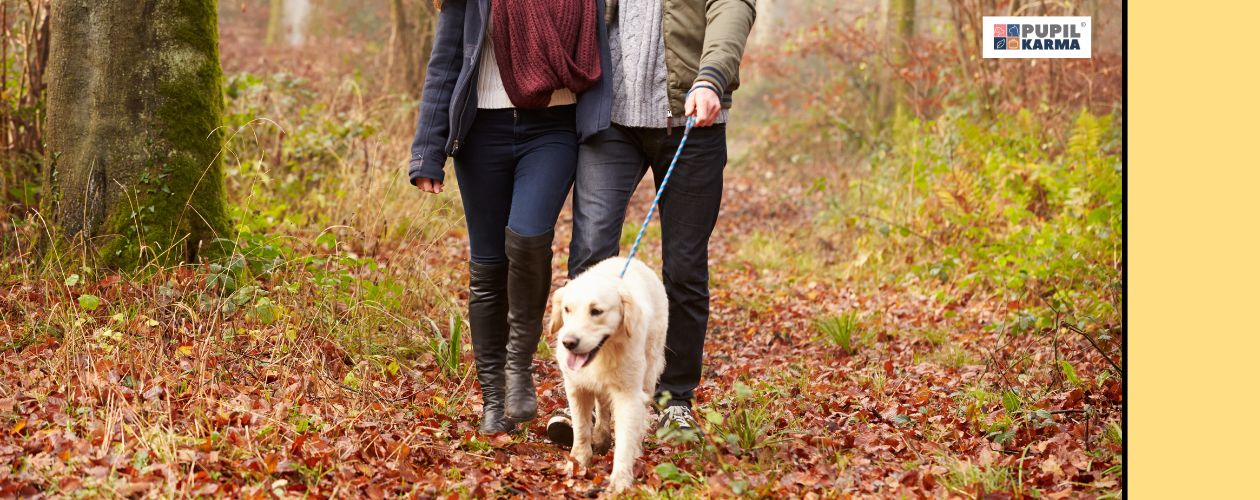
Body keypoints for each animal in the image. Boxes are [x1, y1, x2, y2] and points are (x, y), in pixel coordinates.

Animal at [551, 256, 670, 491]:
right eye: (567, 309)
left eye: (596, 311)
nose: (569, 343)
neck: (604, 352)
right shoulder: (576, 387)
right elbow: (581, 428)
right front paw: (577, 463)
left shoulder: (628, 395)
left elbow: (625, 438)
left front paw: (620, 481)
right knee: (603, 407)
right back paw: (601, 436)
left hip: (649, 372)